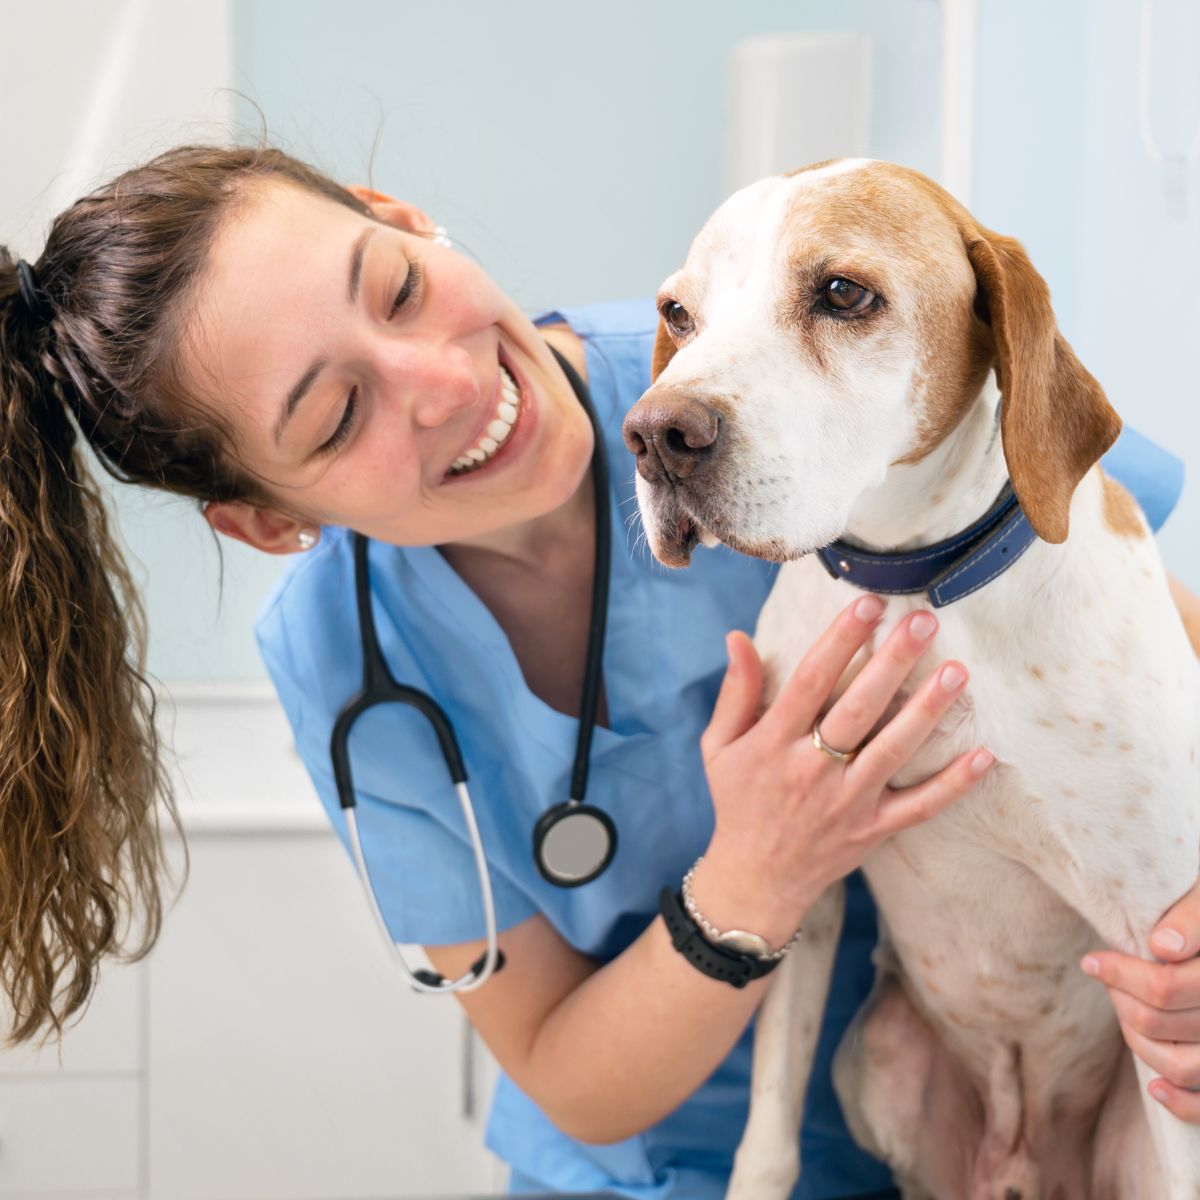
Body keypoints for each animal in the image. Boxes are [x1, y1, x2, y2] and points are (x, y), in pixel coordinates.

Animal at [624, 162, 1200, 1200]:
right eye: (678, 314)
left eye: (844, 293)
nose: (652, 434)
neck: (916, 589)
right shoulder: (800, 892)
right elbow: (767, 1137)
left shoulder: (1155, 947)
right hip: (877, 1056)